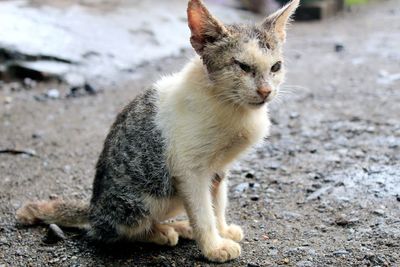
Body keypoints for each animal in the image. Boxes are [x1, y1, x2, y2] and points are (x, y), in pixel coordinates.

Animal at [15, 0, 298, 264]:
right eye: (242, 66)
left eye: (276, 67)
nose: (266, 91)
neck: (231, 106)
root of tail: (94, 207)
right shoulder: (190, 171)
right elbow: (203, 212)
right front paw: (213, 246)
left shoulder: (218, 170)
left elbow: (217, 203)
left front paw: (223, 230)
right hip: (144, 197)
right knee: (115, 232)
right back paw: (162, 232)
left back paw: (179, 227)